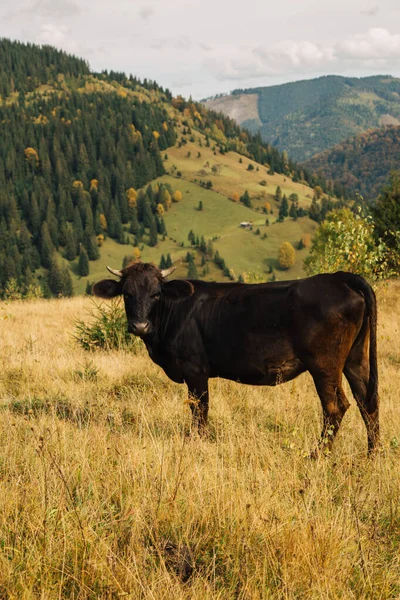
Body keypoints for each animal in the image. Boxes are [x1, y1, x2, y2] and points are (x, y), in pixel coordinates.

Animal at [92, 264, 380, 454]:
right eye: (127, 294)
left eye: (156, 293)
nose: (139, 326)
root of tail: (339, 277)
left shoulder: (195, 370)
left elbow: (200, 409)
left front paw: (199, 443)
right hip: (356, 358)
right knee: (368, 402)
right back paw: (373, 454)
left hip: (324, 364)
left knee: (335, 407)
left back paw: (318, 455)